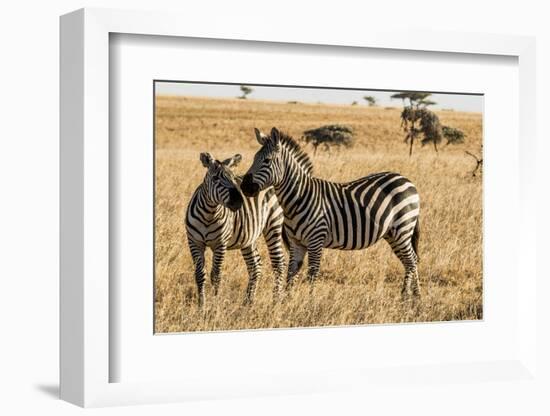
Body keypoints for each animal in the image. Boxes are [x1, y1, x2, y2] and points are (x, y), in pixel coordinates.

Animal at [187, 152, 286, 306]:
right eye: (215, 178)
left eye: (233, 178)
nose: (239, 201)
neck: (208, 215)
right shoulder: (194, 242)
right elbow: (199, 274)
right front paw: (201, 305)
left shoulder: (220, 245)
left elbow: (216, 275)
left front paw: (214, 305)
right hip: (248, 238)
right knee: (255, 266)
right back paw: (248, 302)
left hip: (274, 225)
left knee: (278, 264)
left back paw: (276, 301)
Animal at [242, 127, 422, 300]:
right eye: (254, 158)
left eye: (267, 160)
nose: (244, 187)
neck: (299, 198)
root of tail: (406, 180)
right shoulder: (296, 243)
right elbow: (291, 273)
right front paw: (286, 301)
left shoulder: (316, 241)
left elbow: (312, 274)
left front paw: (310, 302)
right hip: (393, 233)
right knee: (411, 260)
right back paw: (415, 296)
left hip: (402, 228)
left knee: (411, 261)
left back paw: (406, 296)